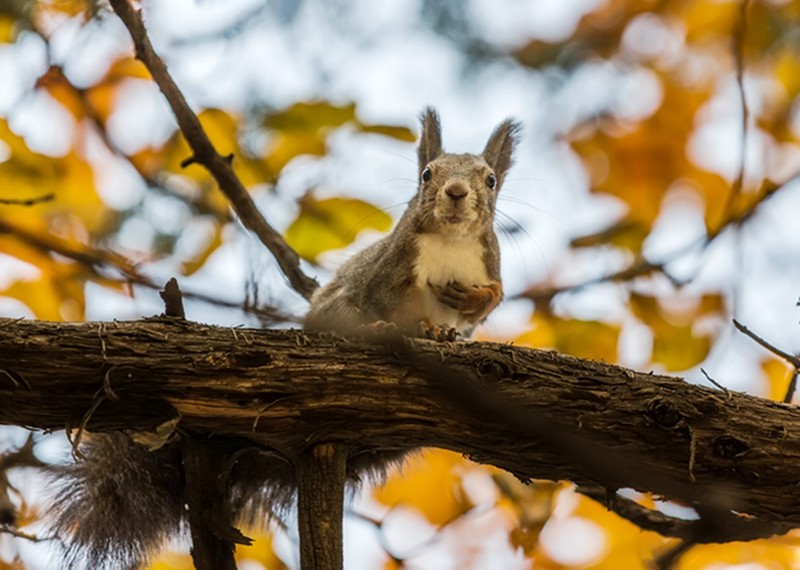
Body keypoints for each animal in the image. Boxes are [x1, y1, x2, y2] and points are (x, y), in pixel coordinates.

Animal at [48, 107, 520, 568]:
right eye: (427, 174)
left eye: (490, 179)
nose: (456, 192)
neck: (450, 241)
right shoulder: (382, 273)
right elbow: (364, 307)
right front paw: (394, 327)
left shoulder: (490, 266)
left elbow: (492, 298)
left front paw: (460, 309)